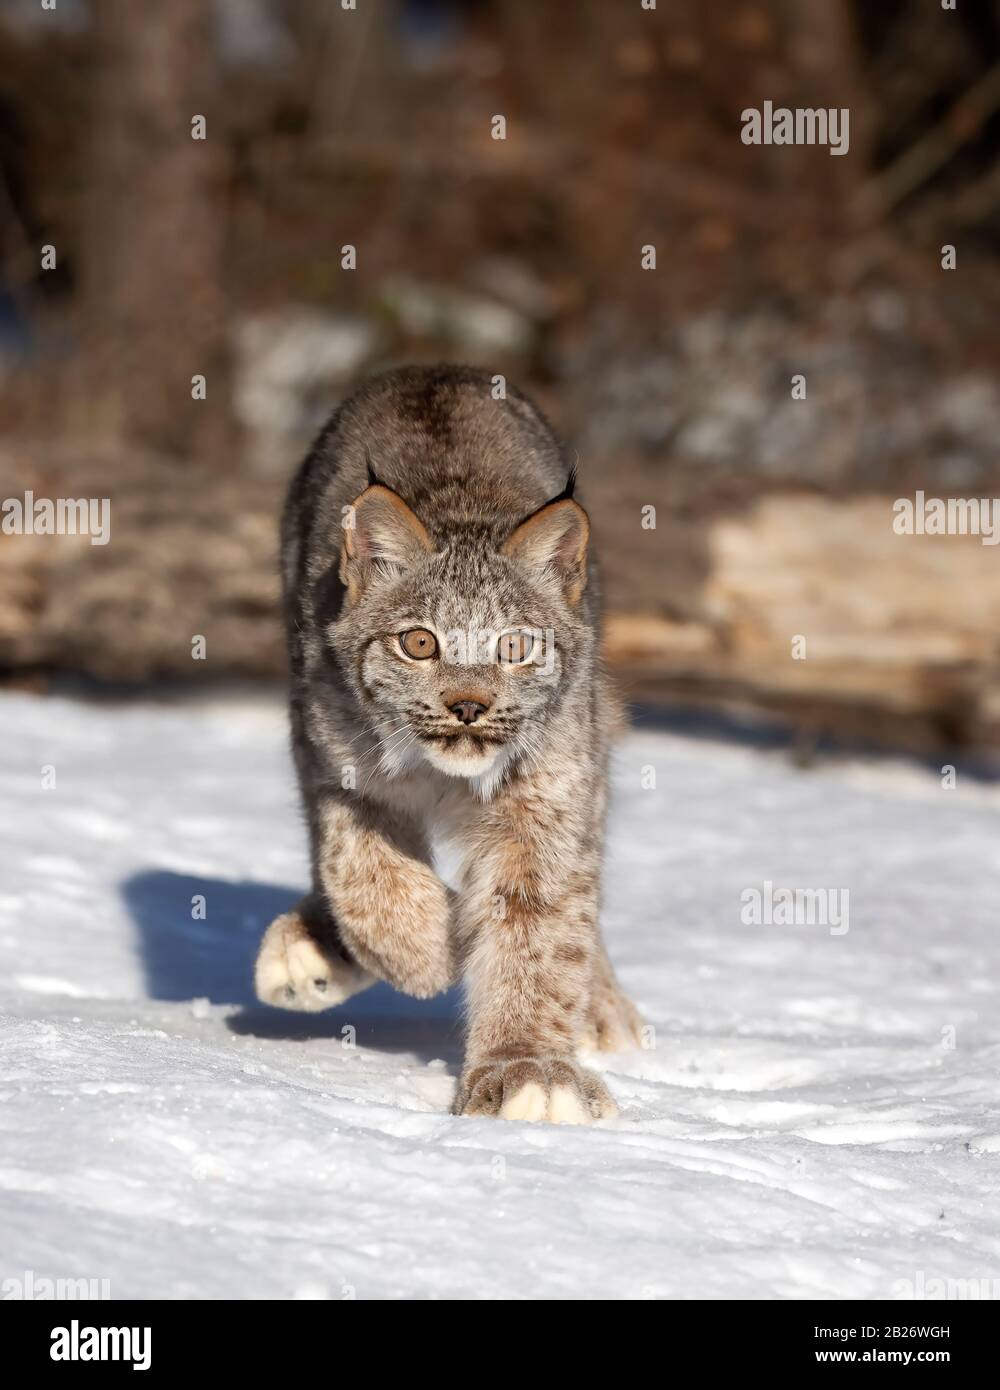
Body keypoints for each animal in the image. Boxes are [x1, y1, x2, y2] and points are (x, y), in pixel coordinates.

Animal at [251, 366, 642, 1117]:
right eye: (420, 643)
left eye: (515, 647)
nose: (468, 707)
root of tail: (429, 371)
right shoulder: (331, 758)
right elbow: (362, 872)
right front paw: (429, 952)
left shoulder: (548, 797)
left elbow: (539, 929)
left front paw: (527, 1068)